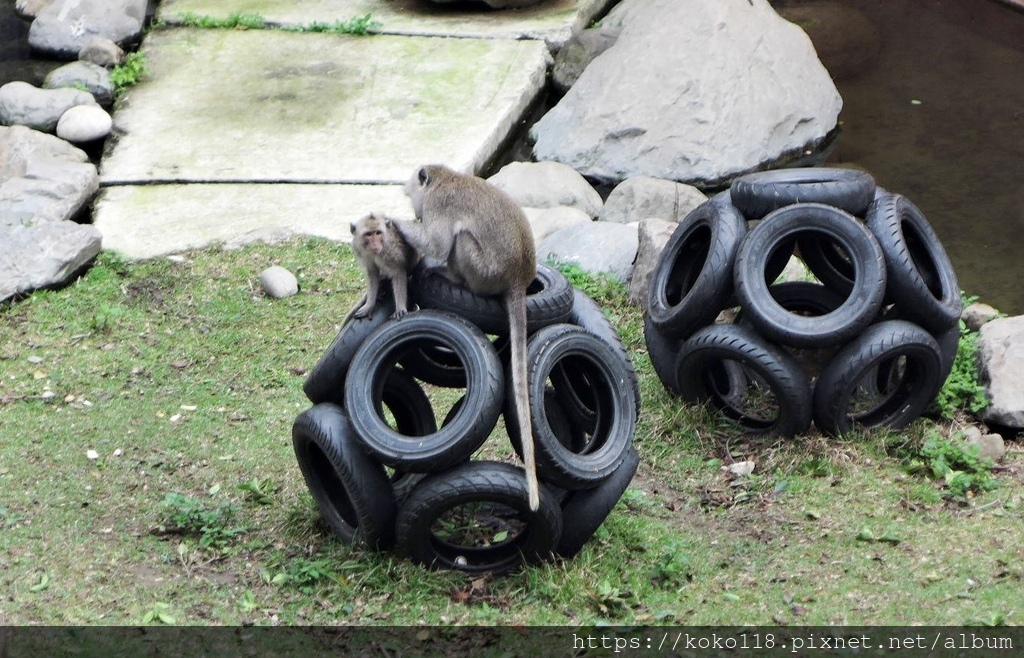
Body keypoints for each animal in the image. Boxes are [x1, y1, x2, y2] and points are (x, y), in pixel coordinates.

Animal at [389, 164, 544, 509]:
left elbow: (436, 243)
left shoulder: (438, 204)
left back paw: (451, 276)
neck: (444, 177)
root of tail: (519, 276)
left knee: (459, 239)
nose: (413, 210)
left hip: (484, 271)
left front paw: (394, 221)